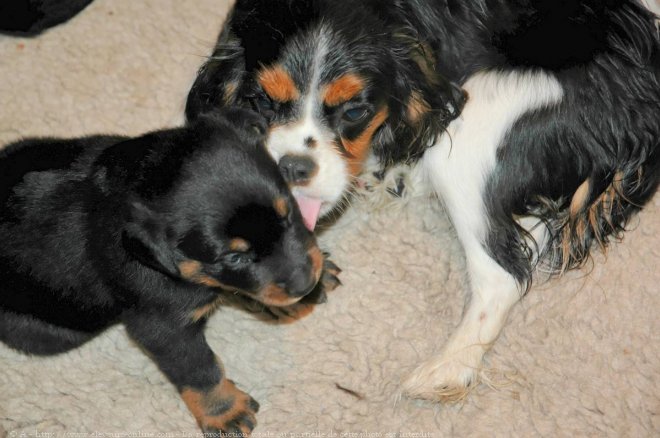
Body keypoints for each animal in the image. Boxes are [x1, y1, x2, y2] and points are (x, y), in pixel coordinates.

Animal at [0, 108, 324, 432]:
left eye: (289, 212)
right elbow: (198, 367)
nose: (305, 283)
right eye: (235, 258)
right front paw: (225, 411)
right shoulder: (161, 325)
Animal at [186, 0, 660, 402]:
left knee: (503, 273)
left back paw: (445, 370)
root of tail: (639, 106)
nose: (293, 167)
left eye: (354, 112)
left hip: (471, 131)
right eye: (262, 100)